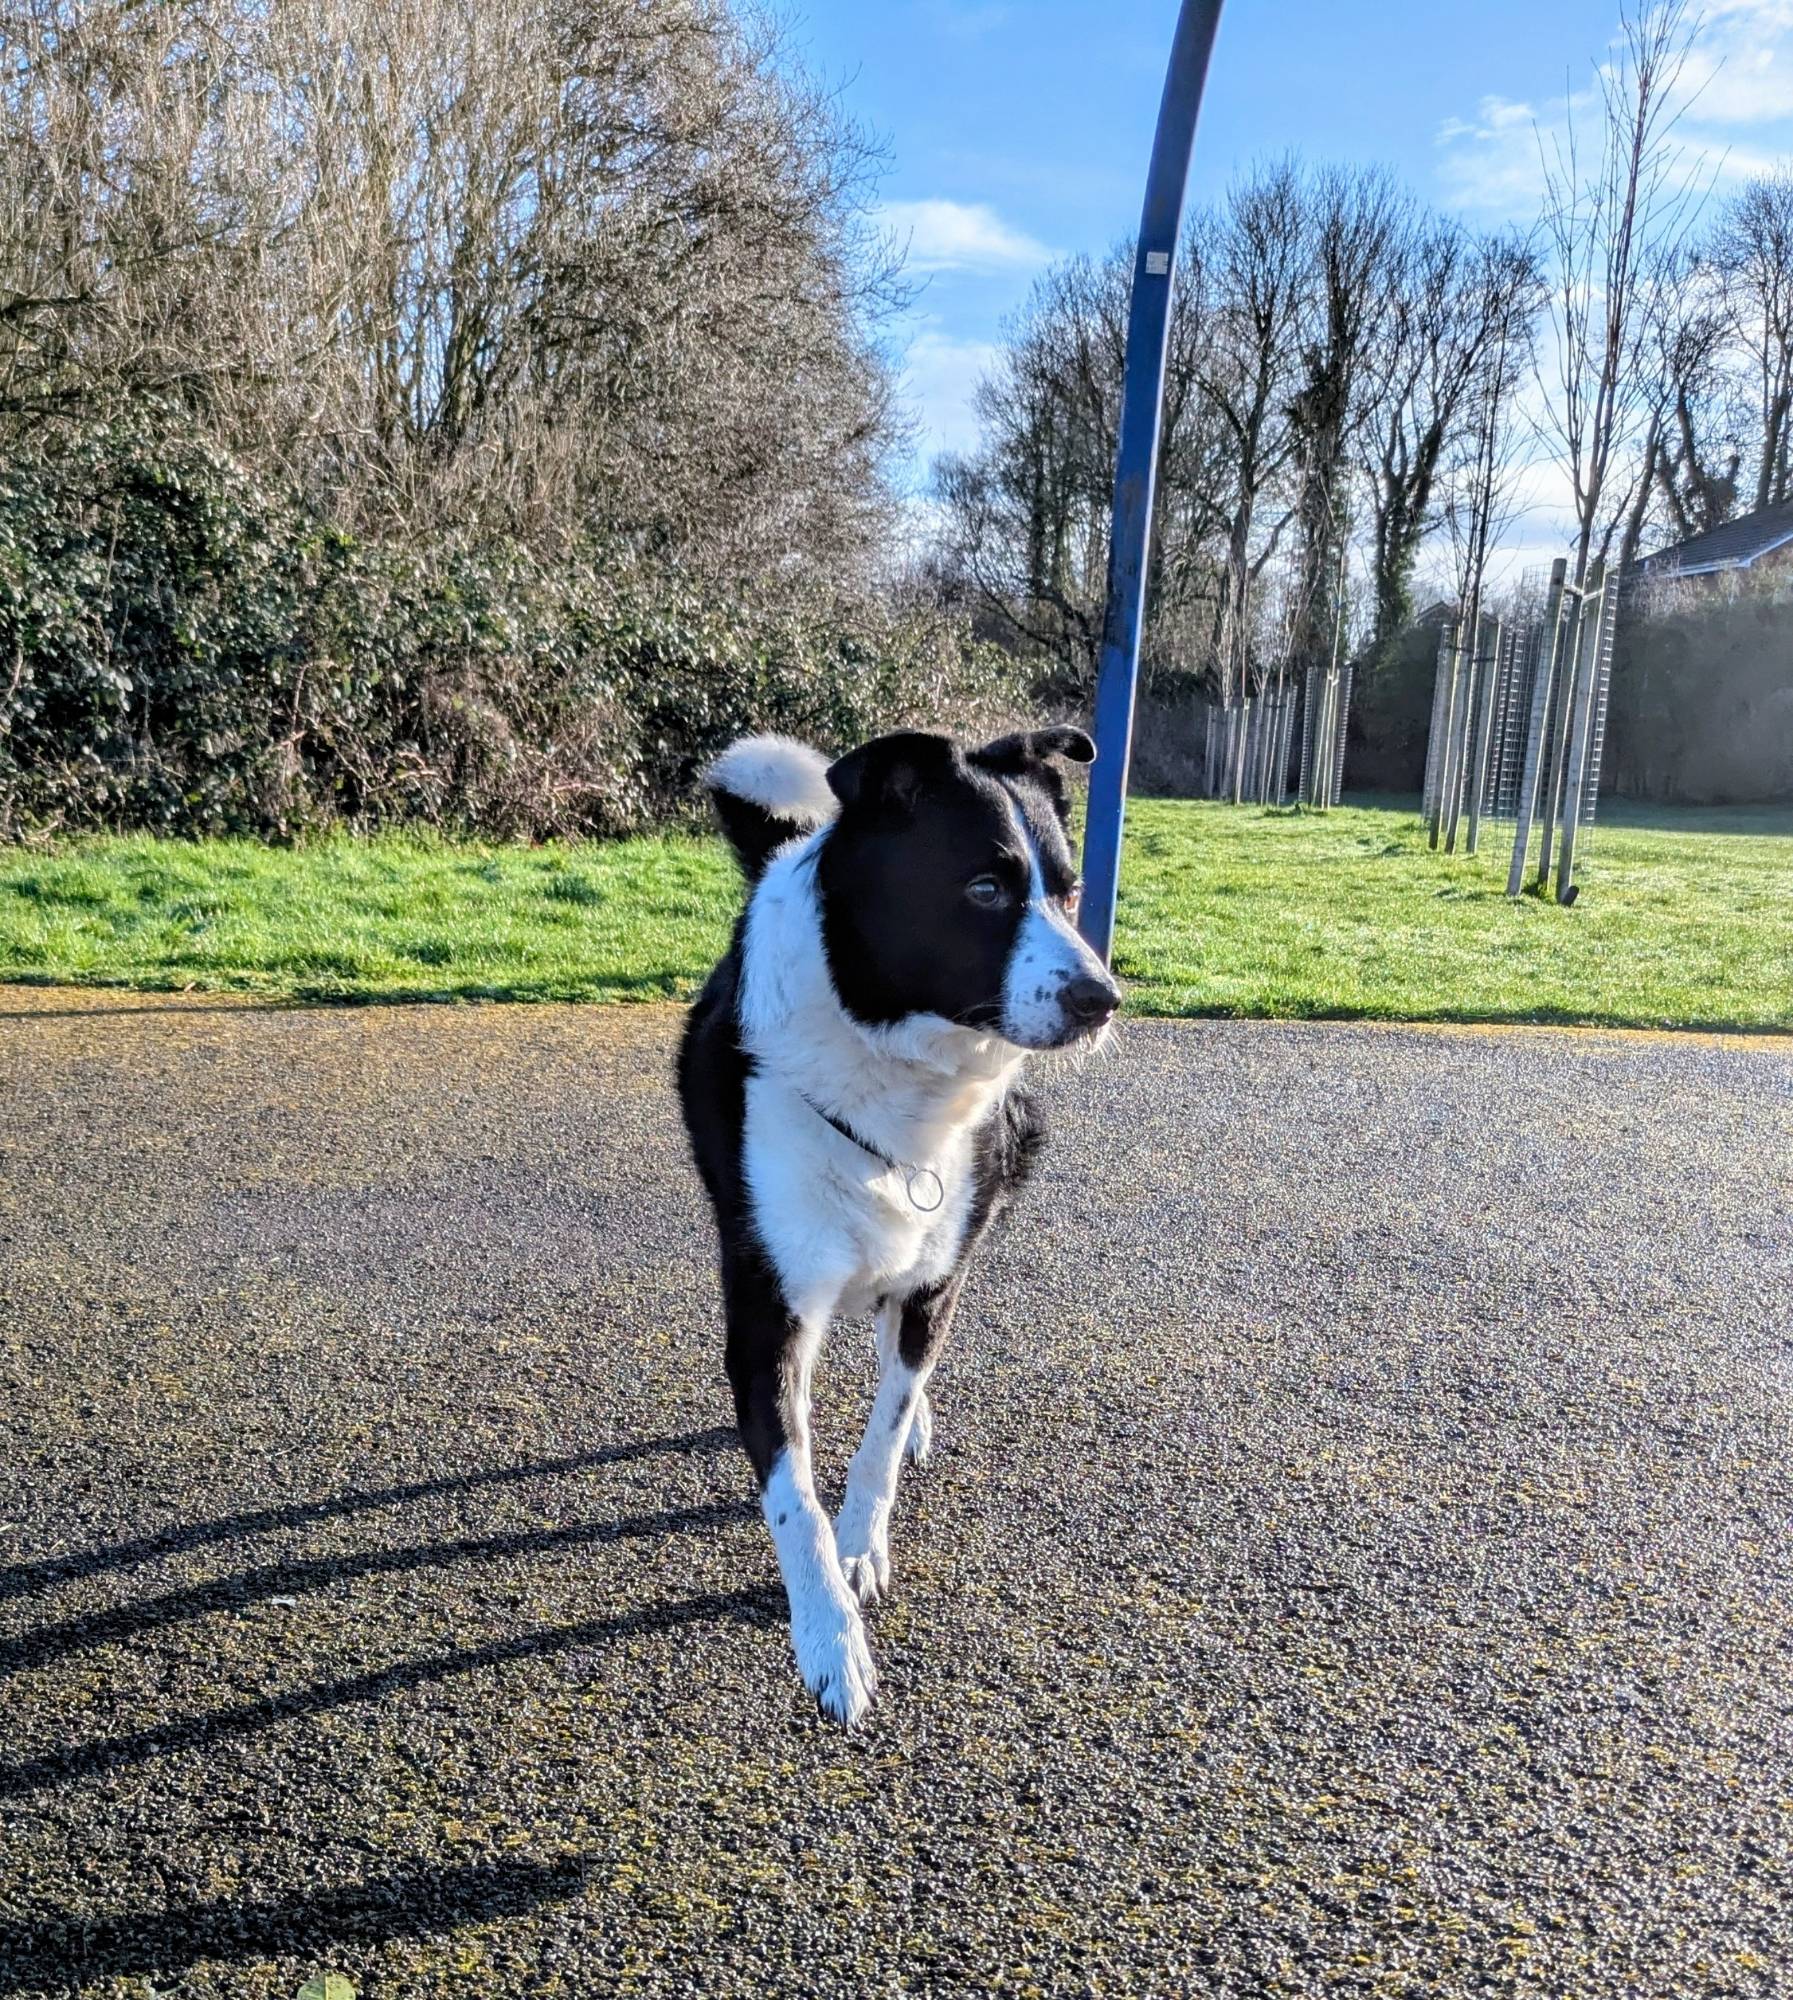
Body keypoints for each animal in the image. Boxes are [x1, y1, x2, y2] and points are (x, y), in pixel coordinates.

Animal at [677, 725, 1122, 1724]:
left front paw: (859, 1547)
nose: (1101, 999)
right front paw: (828, 1640)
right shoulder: (767, 1306)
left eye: (1070, 889)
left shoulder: (934, 1273)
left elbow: (878, 1435)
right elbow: (791, 1495)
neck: (885, 1054)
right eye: (984, 889)